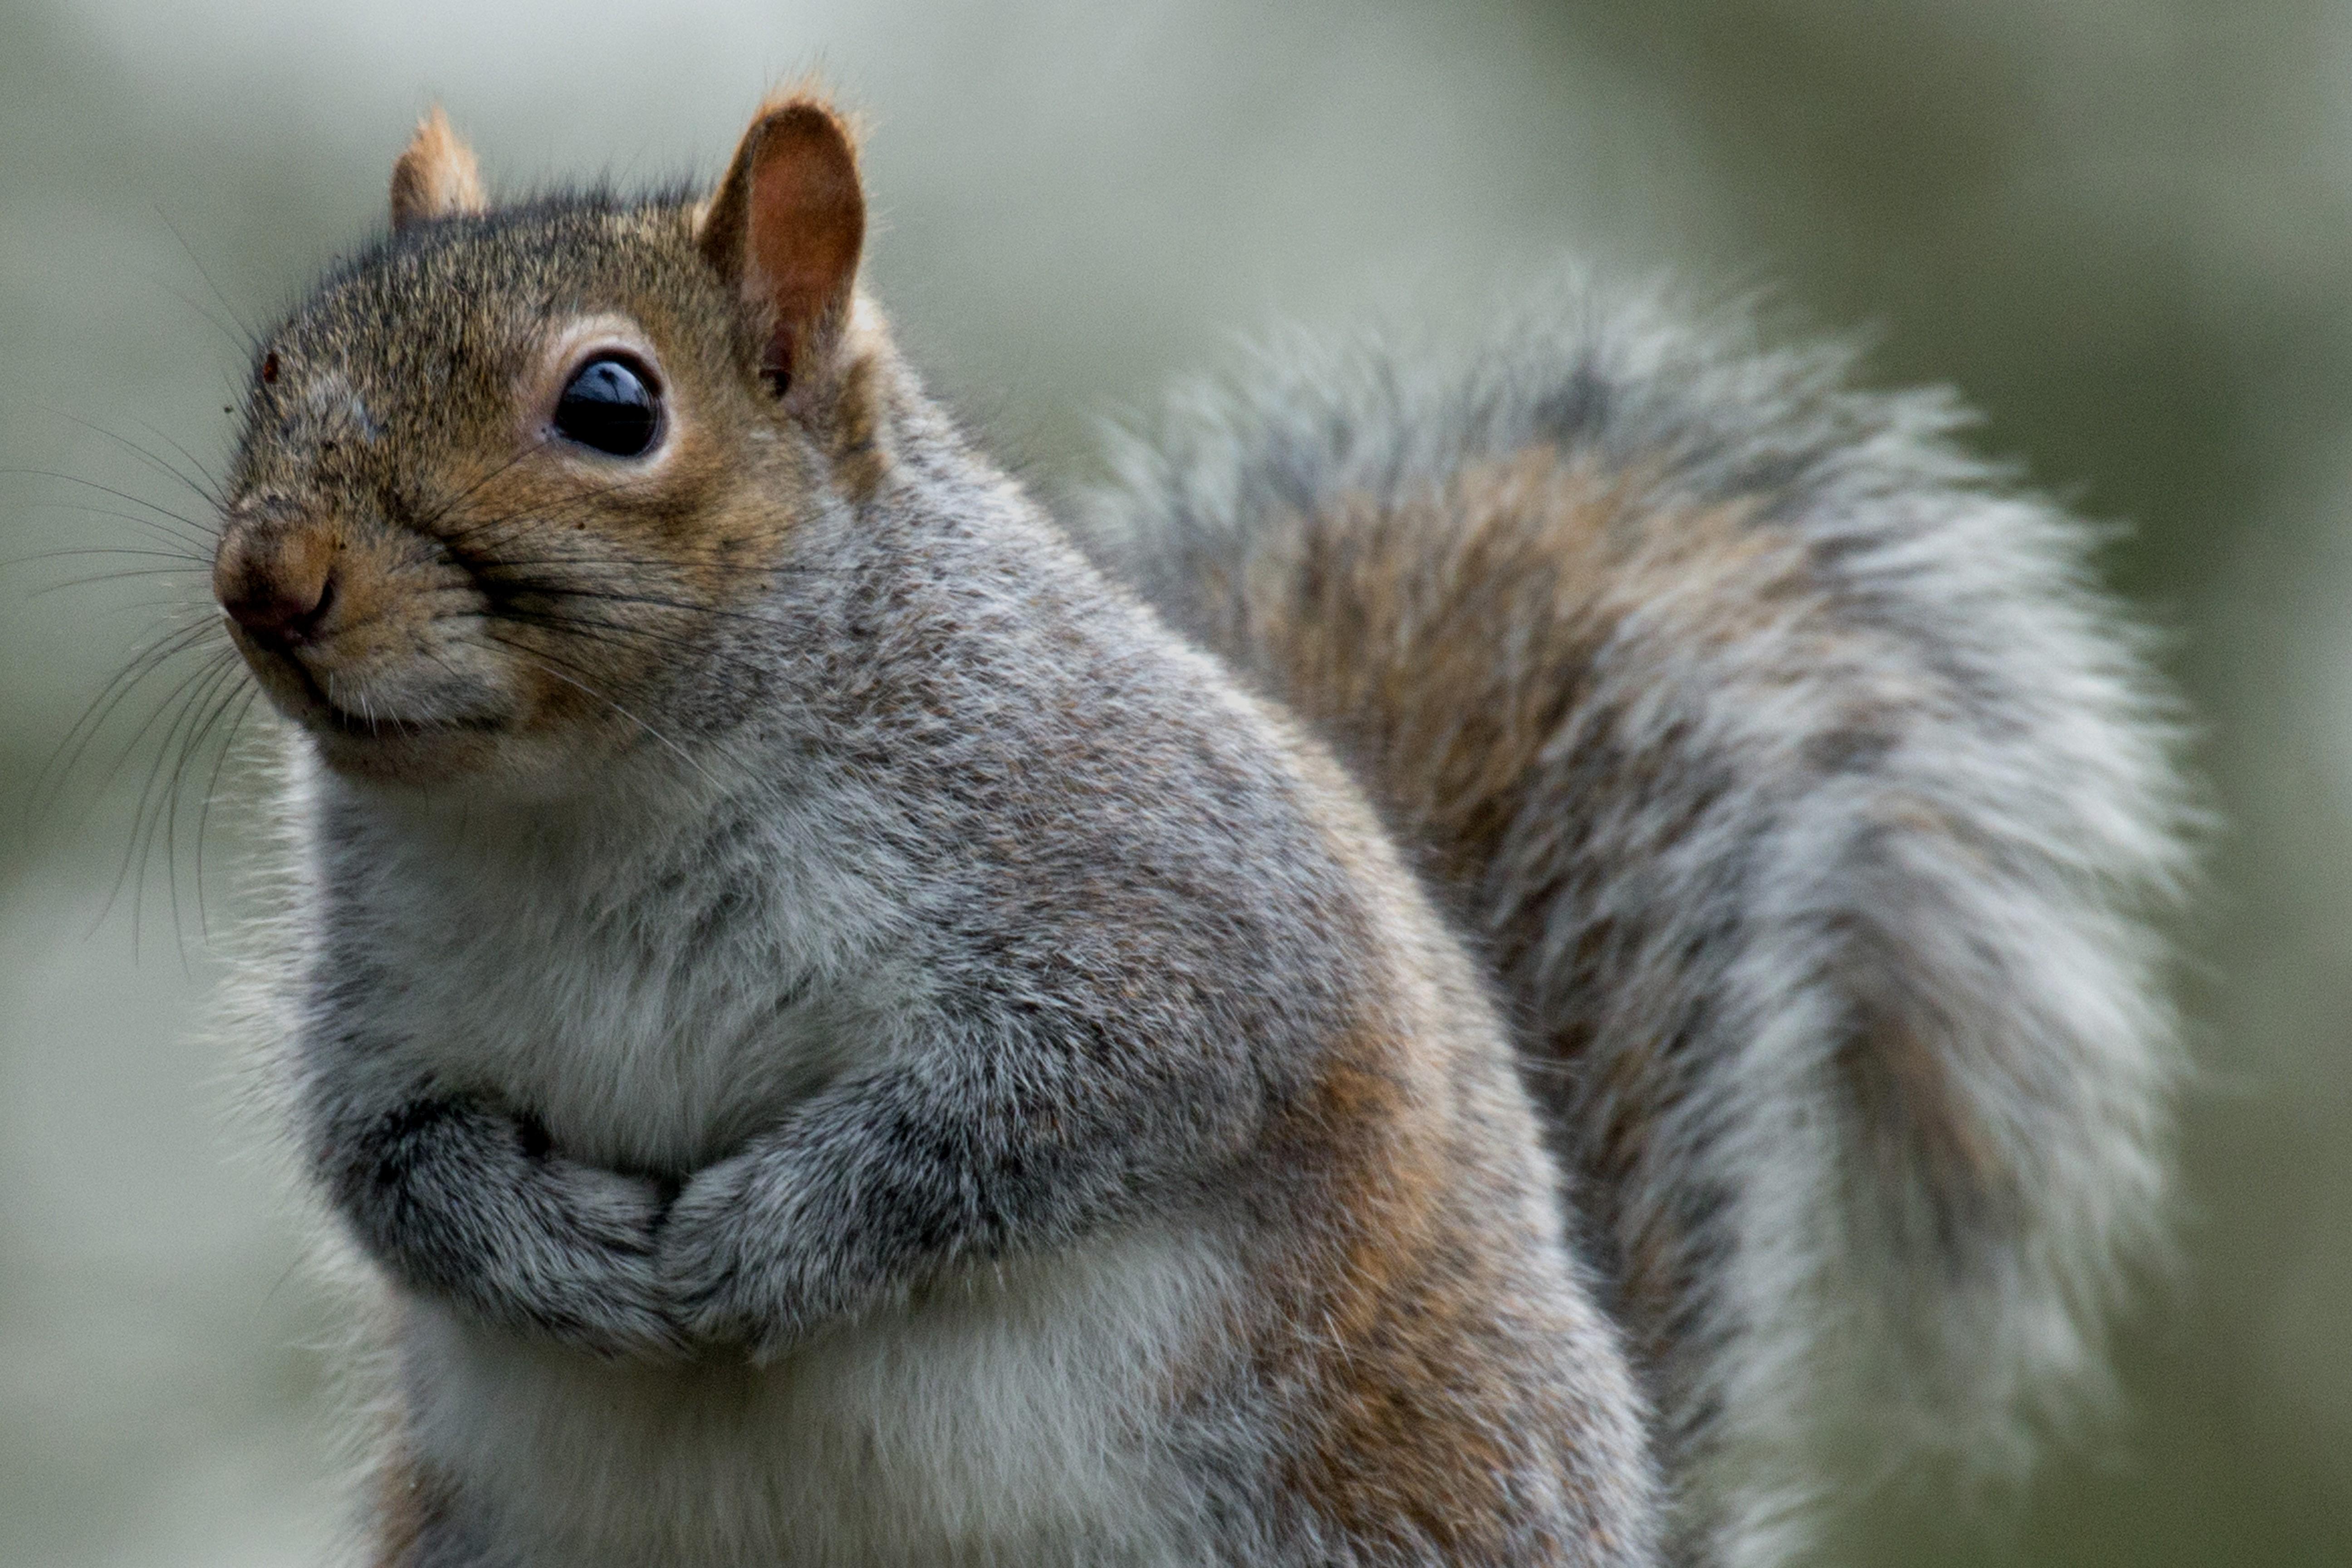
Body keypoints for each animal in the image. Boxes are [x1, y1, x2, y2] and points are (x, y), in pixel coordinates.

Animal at [203, 94, 2186, 1568]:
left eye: (610, 403)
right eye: (272, 370)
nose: (266, 579)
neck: (587, 794)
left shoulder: (1165, 900)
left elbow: (1054, 1103)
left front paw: (766, 1236)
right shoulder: (381, 1015)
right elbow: (383, 1165)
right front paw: (549, 1250)